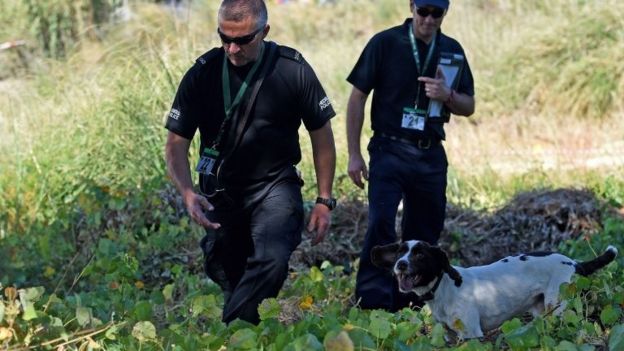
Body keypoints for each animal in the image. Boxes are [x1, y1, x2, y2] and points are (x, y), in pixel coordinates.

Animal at [372, 241, 616, 340]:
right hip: (543, 313)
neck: (444, 288)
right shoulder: (451, 337)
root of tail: (575, 263)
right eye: (400, 252)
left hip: (561, 309)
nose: (400, 264)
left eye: (420, 255)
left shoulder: (472, 335)